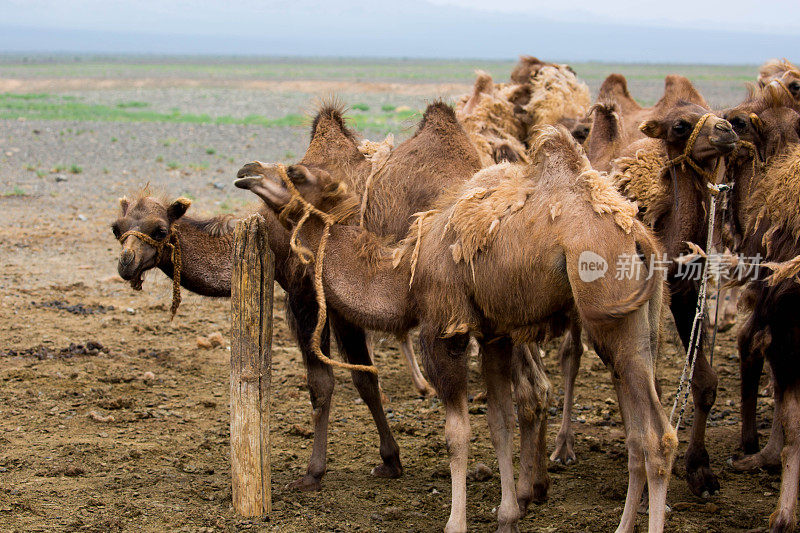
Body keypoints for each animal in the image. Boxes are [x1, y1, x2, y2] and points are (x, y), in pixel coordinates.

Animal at [236, 125, 676, 532]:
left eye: (296, 172)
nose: (246, 170)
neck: (405, 277)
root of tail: (642, 238)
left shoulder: (442, 330)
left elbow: (457, 433)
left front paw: (456, 522)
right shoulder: (494, 333)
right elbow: (500, 423)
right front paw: (507, 516)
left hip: (610, 315)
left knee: (658, 438)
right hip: (636, 327)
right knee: (636, 435)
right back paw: (617, 523)